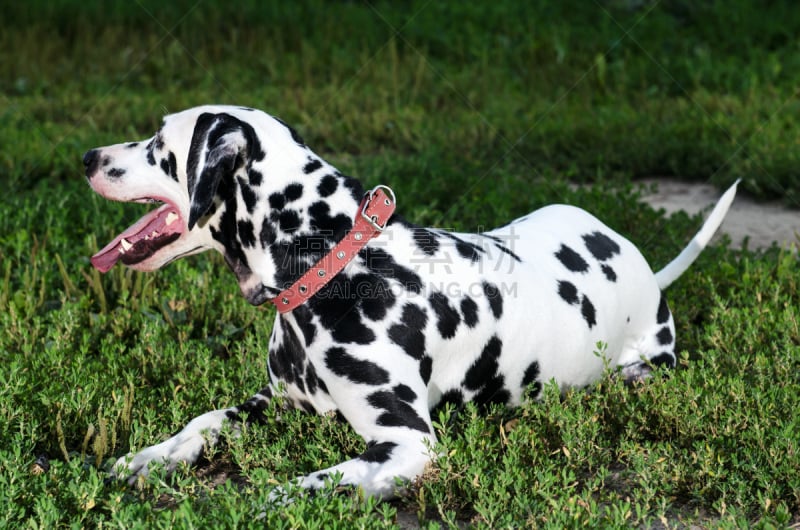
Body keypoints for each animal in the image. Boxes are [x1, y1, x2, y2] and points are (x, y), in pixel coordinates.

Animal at [81, 105, 736, 498]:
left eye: (158, 141)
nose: (88, 157)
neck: (334, 262)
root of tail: (643, 267)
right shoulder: (276, 402)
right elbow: (205, 421)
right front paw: (151, 456)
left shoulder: (407, 444)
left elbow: (304, 484)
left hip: (643, 369)